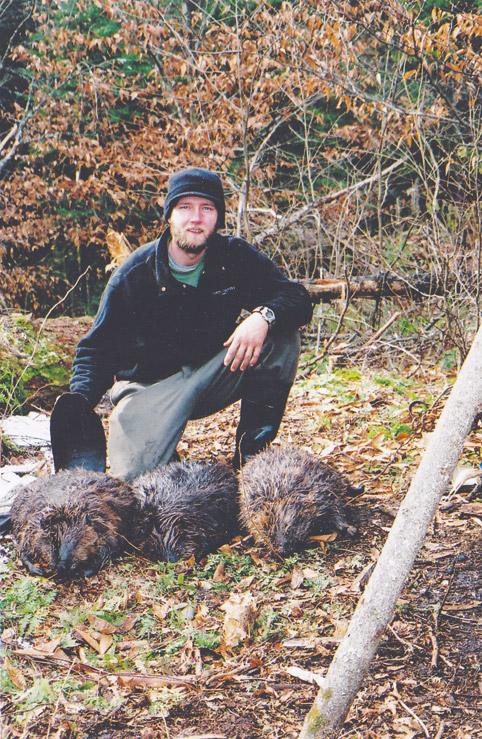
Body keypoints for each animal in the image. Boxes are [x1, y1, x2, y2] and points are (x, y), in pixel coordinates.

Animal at [10, 472, 138, 580]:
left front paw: (83, 571)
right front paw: (37, 569)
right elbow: (22, 550)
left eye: (76, 543)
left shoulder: (106, 525)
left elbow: (109, 549)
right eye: (52, 543)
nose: (61, 567)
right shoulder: (30, 526)